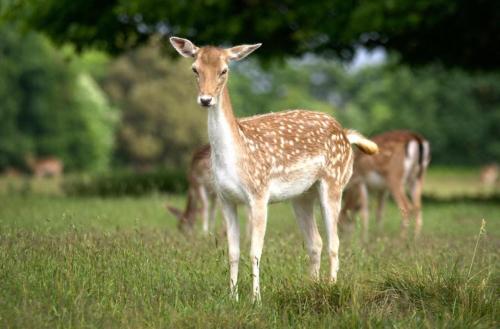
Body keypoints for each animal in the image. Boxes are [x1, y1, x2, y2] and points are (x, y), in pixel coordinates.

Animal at [170, 37, 376, 302]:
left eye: (224, 70)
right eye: (195, 69)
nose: (206, 99)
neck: (237, 154)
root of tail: (346, 135)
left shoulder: (259, 193)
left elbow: (254, 251)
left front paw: (255, 299)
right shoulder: (225, 198)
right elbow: (232, 252)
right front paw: (232, 297)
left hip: (334, 181)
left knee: (334, 242)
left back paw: (331, 288)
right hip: (301, 196)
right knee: (316, 242)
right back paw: (311, 288)